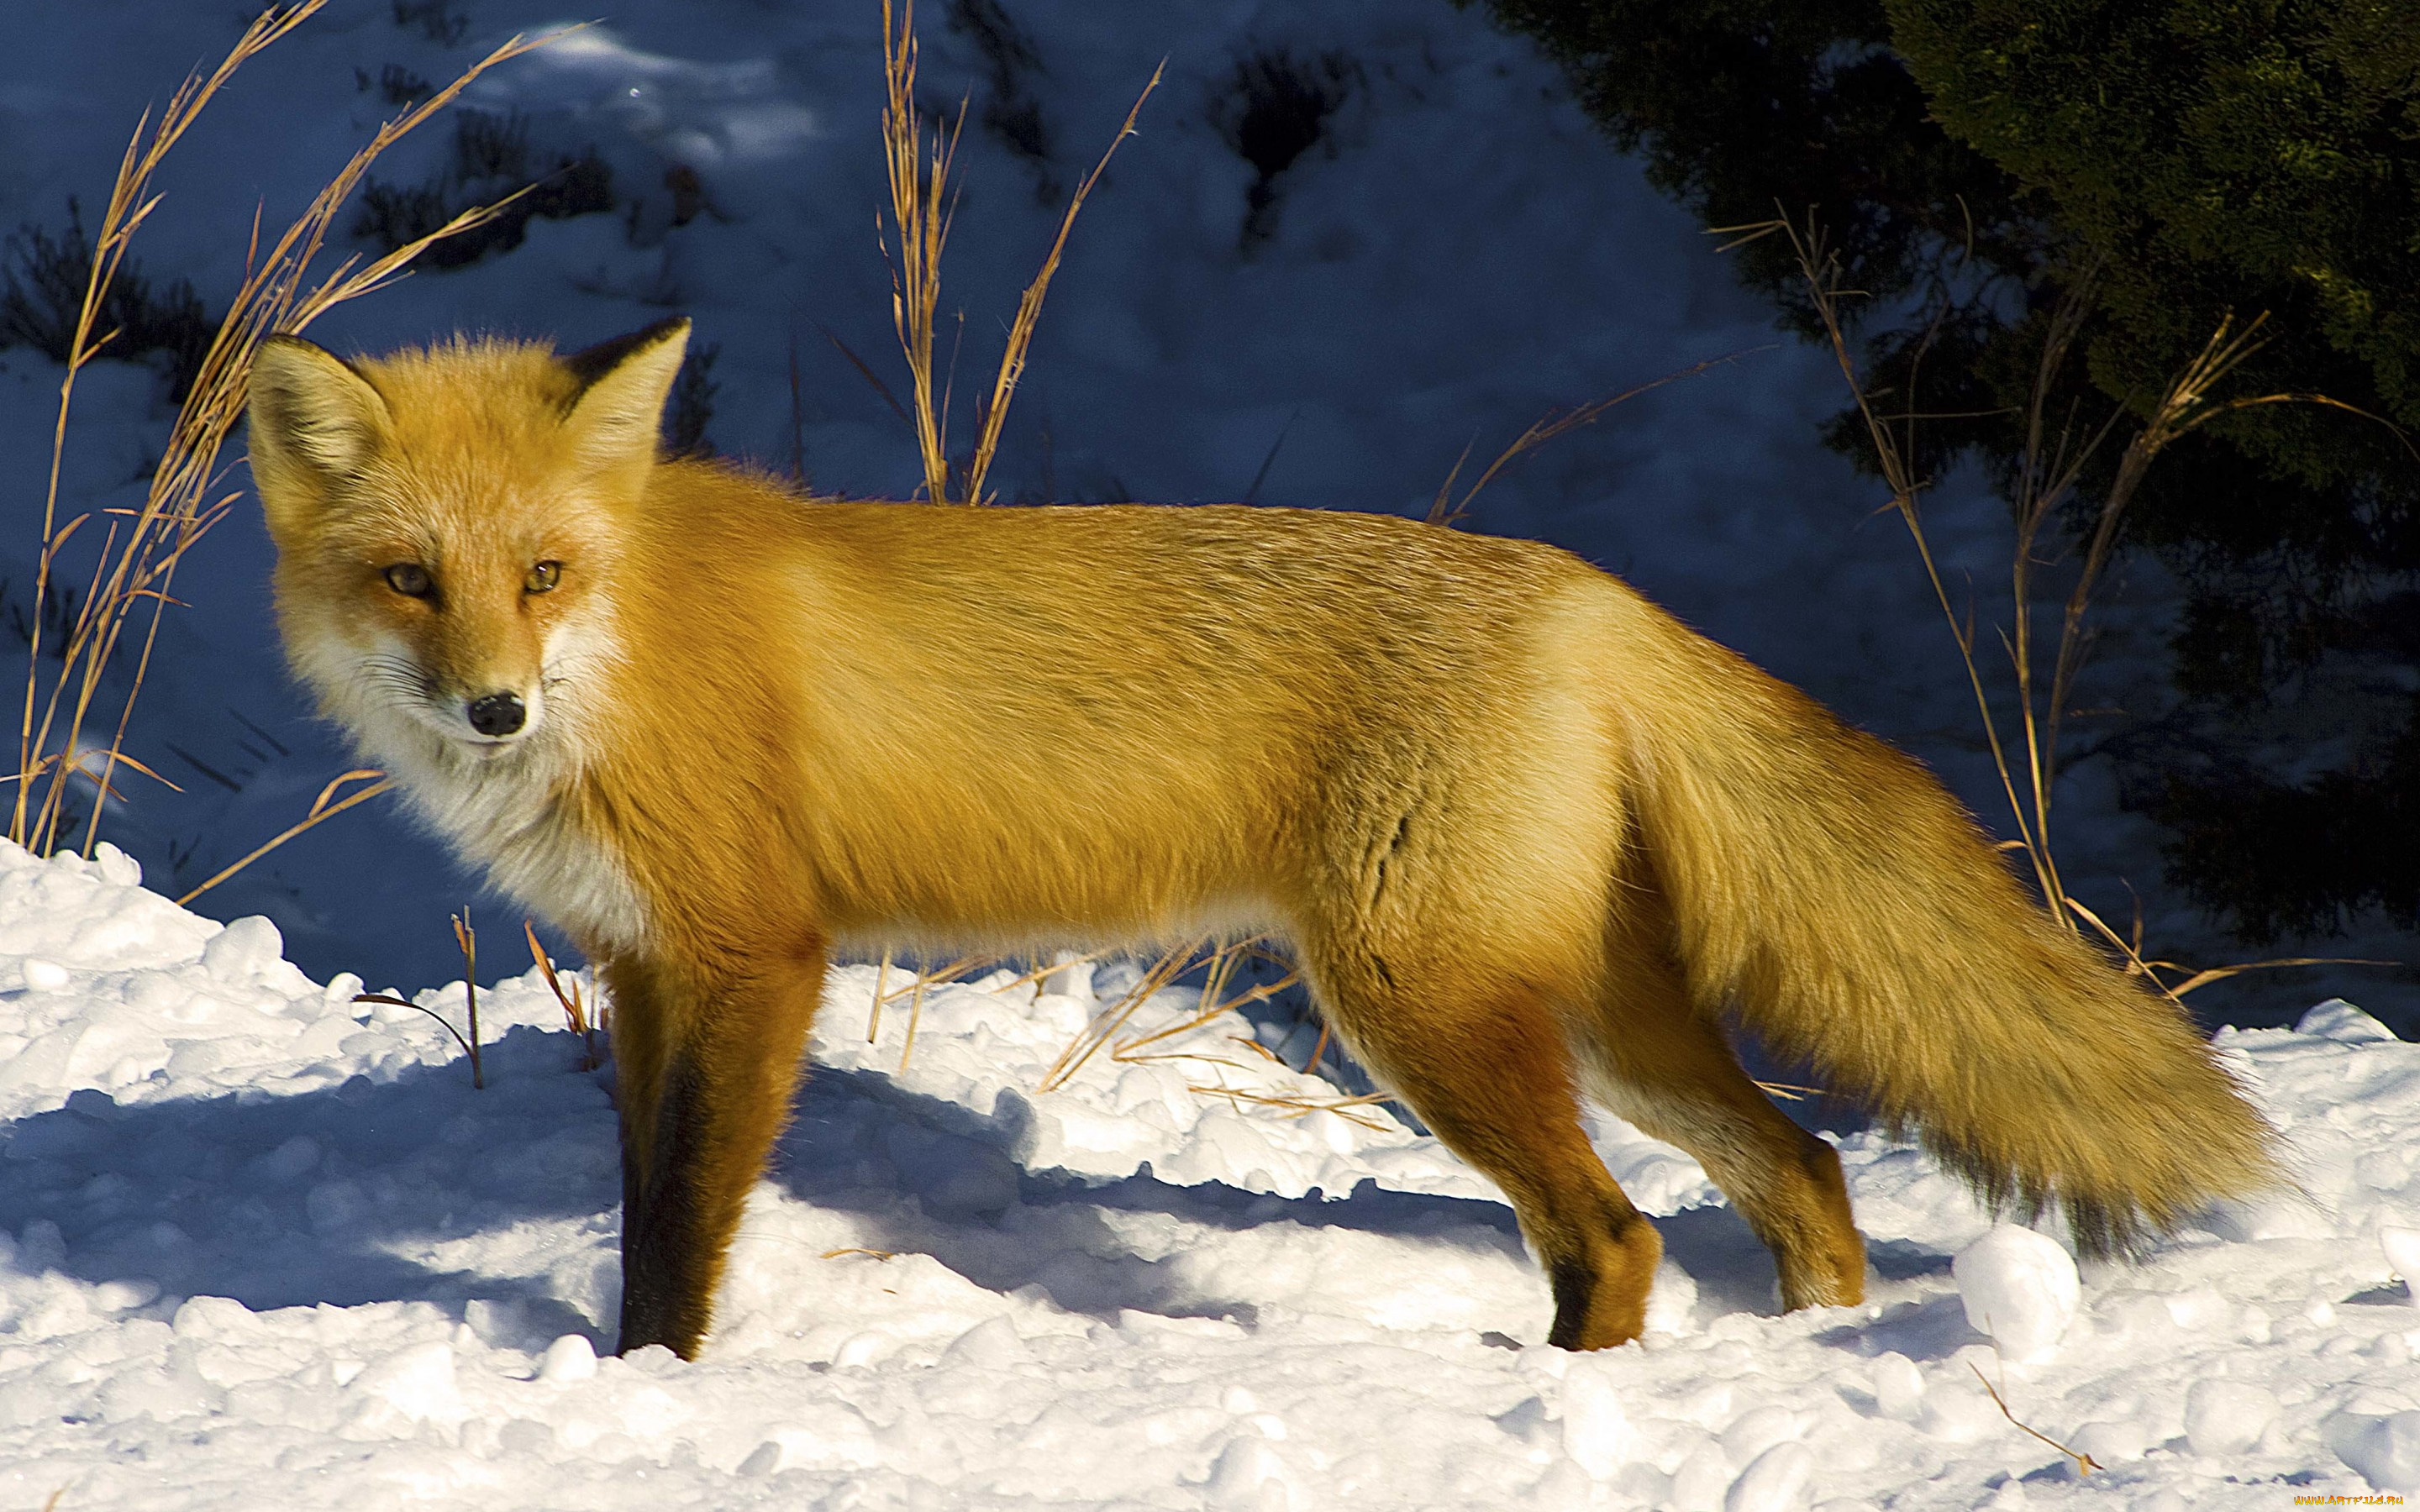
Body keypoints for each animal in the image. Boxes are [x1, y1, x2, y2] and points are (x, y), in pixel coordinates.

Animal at [255, 319, 2275, 1354]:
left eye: (542, 577)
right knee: (1809, 1171)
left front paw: (657, 1391)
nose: (494, 710)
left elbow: (683, 1229)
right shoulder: (649, 966)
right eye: (413, 582)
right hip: (1596, 1018)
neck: (633, 654)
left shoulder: (759, 959)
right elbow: (632, 1211)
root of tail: (1587, 592)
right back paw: (1808, 1359)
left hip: (1418, 1007)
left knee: (1619, 1239)